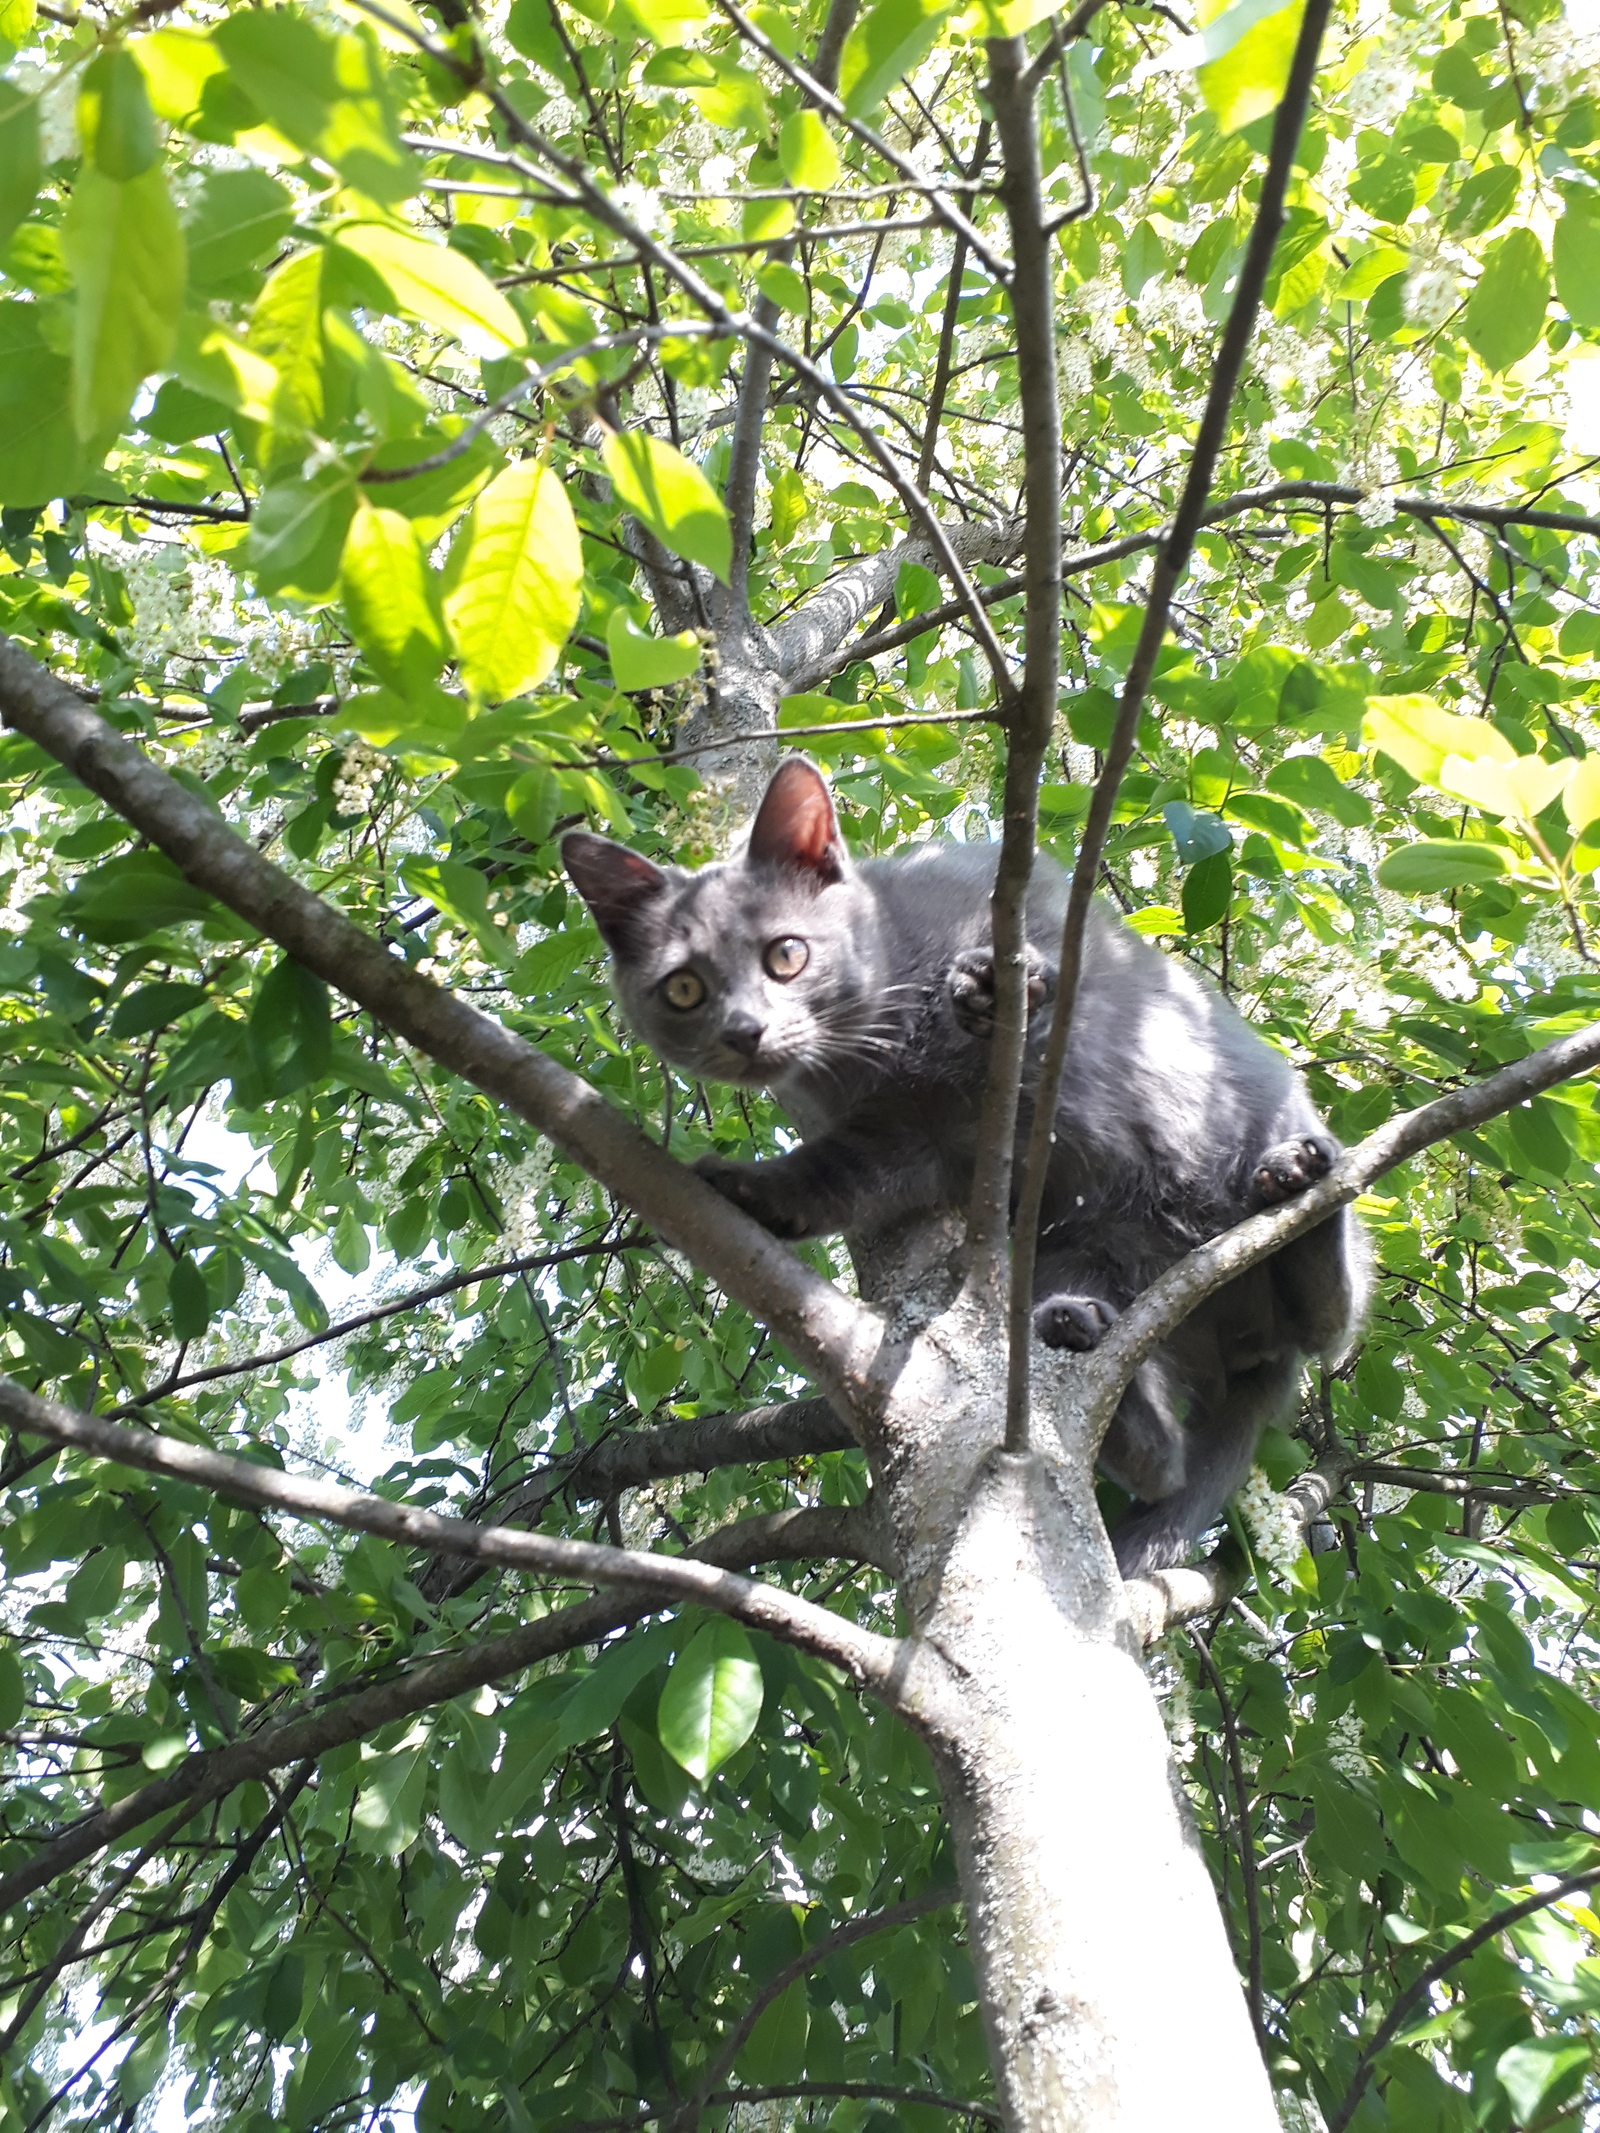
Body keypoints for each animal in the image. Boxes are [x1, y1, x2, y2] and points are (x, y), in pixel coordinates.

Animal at [563, 759, 1365, 1578]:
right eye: (684, 988)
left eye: (786, 955)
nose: (744, 1030)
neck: (872, 1047)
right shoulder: (905, 1139)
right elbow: (835, 1178)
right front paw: (750, 1189)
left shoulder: (1022, 899)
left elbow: (1049, 957)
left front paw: (995, 985)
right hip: (1079, 1253)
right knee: (1162, 1459)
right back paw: (1085, 1344)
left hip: (1264, 1142)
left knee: (1330, 1318)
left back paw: (1298, 1183)